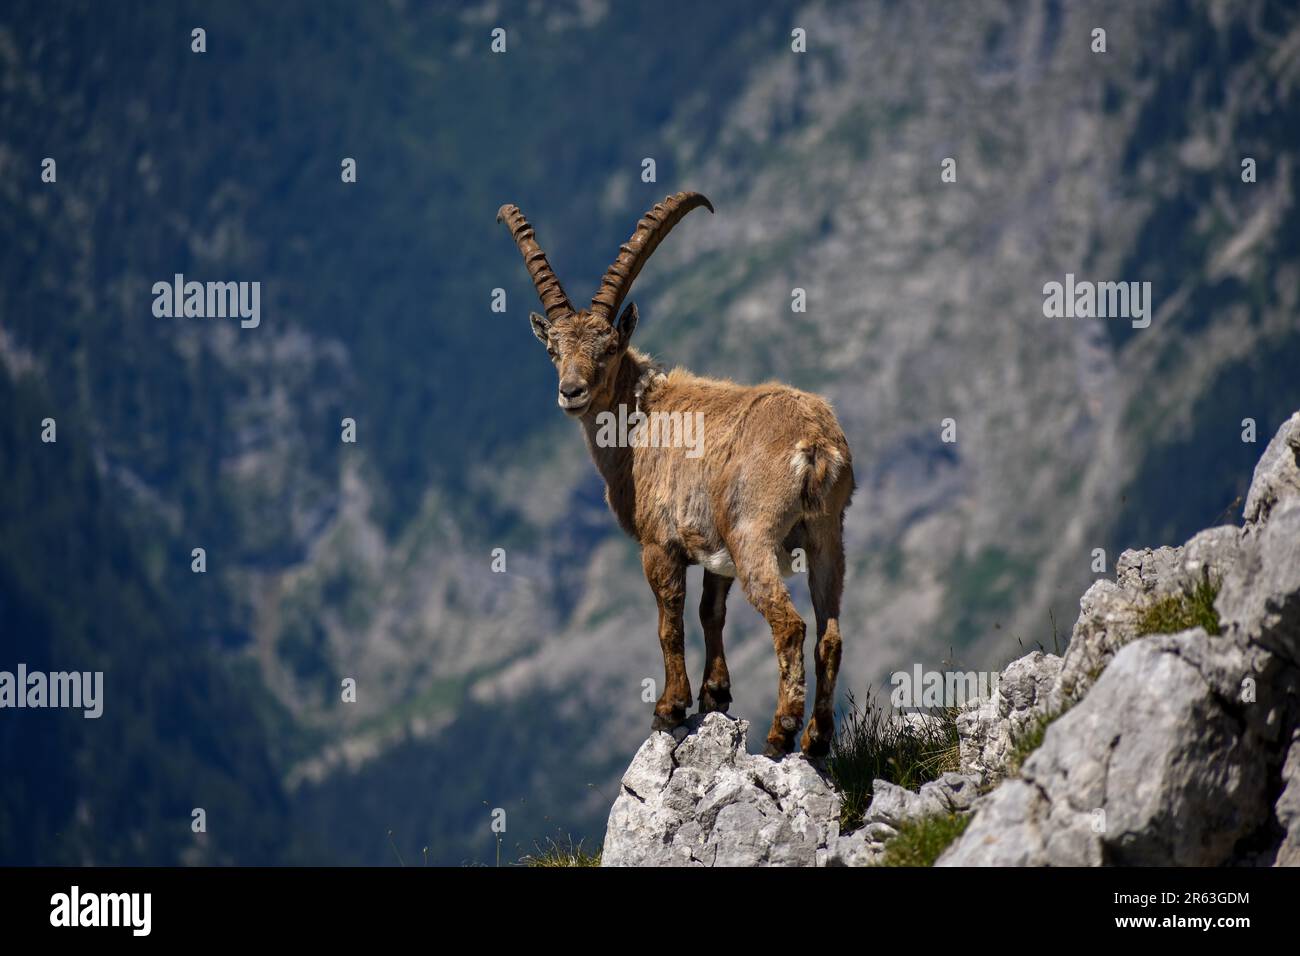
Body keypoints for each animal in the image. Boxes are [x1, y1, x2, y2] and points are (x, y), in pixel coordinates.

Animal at [497, 192, 855, 756]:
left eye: (609, 348)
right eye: (554, 348)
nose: (570, 391)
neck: (639, 417)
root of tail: (815, 443)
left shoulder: (659, 544)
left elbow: (670, 621)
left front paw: (670, 707)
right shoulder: (712, 549)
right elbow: (711, 612)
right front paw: (715, 695)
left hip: (754, 535)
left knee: (790, 625)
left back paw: (781, 731)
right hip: (827, 538)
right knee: (830, 633)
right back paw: (817, 738)